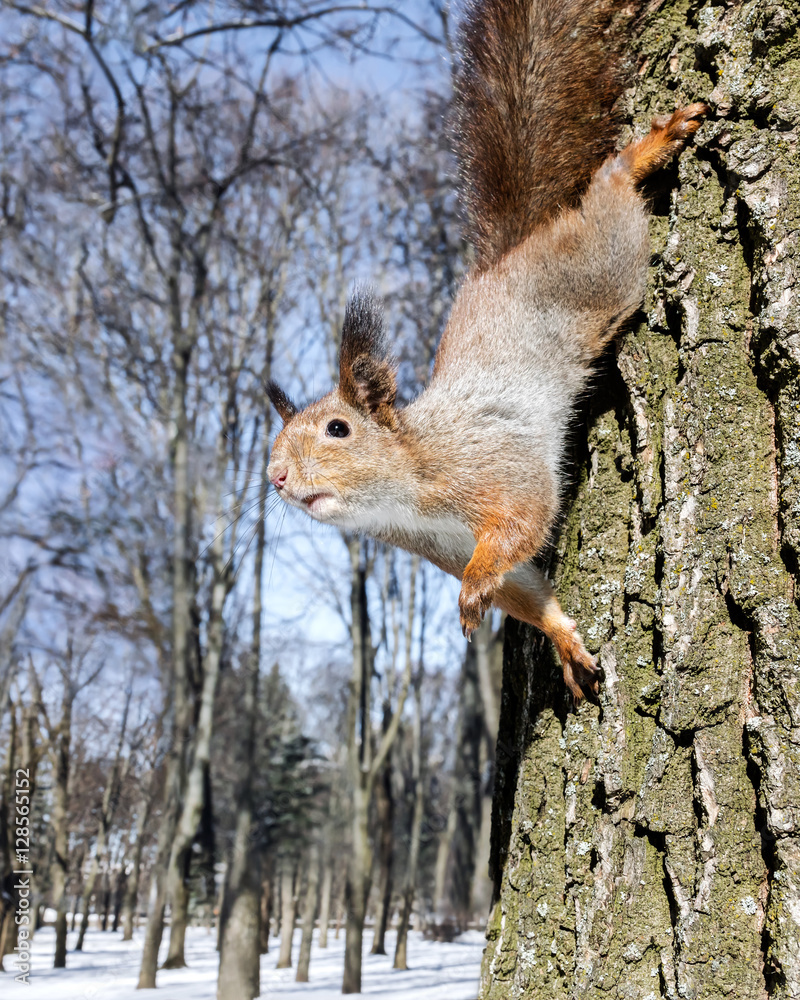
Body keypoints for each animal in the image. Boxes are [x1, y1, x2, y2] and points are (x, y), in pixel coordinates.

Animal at [265, 0, 707, 701]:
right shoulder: (437, 543)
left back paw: (648, 149)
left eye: (338, 429)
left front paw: (474, 590)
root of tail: (509, 256)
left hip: (600, 266)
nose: (276, 478)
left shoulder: (495, 462)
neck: (410, 478)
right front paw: (561, 639)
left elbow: (524, 518)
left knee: (610, 202)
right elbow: (524, 587)